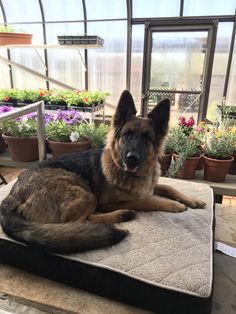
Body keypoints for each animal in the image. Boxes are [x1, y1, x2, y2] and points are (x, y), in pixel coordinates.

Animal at [0, 90, 206, 253]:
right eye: (127, 135)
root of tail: (11, 198)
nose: (131, 158)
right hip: (85, 193)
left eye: (147, 138)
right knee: (77, 224)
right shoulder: (110, 202)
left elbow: (168, 188)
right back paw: (119, 215)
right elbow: (148, 200)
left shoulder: (151, 185)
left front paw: (191, 200)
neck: (131, 174)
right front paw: (173, 205)